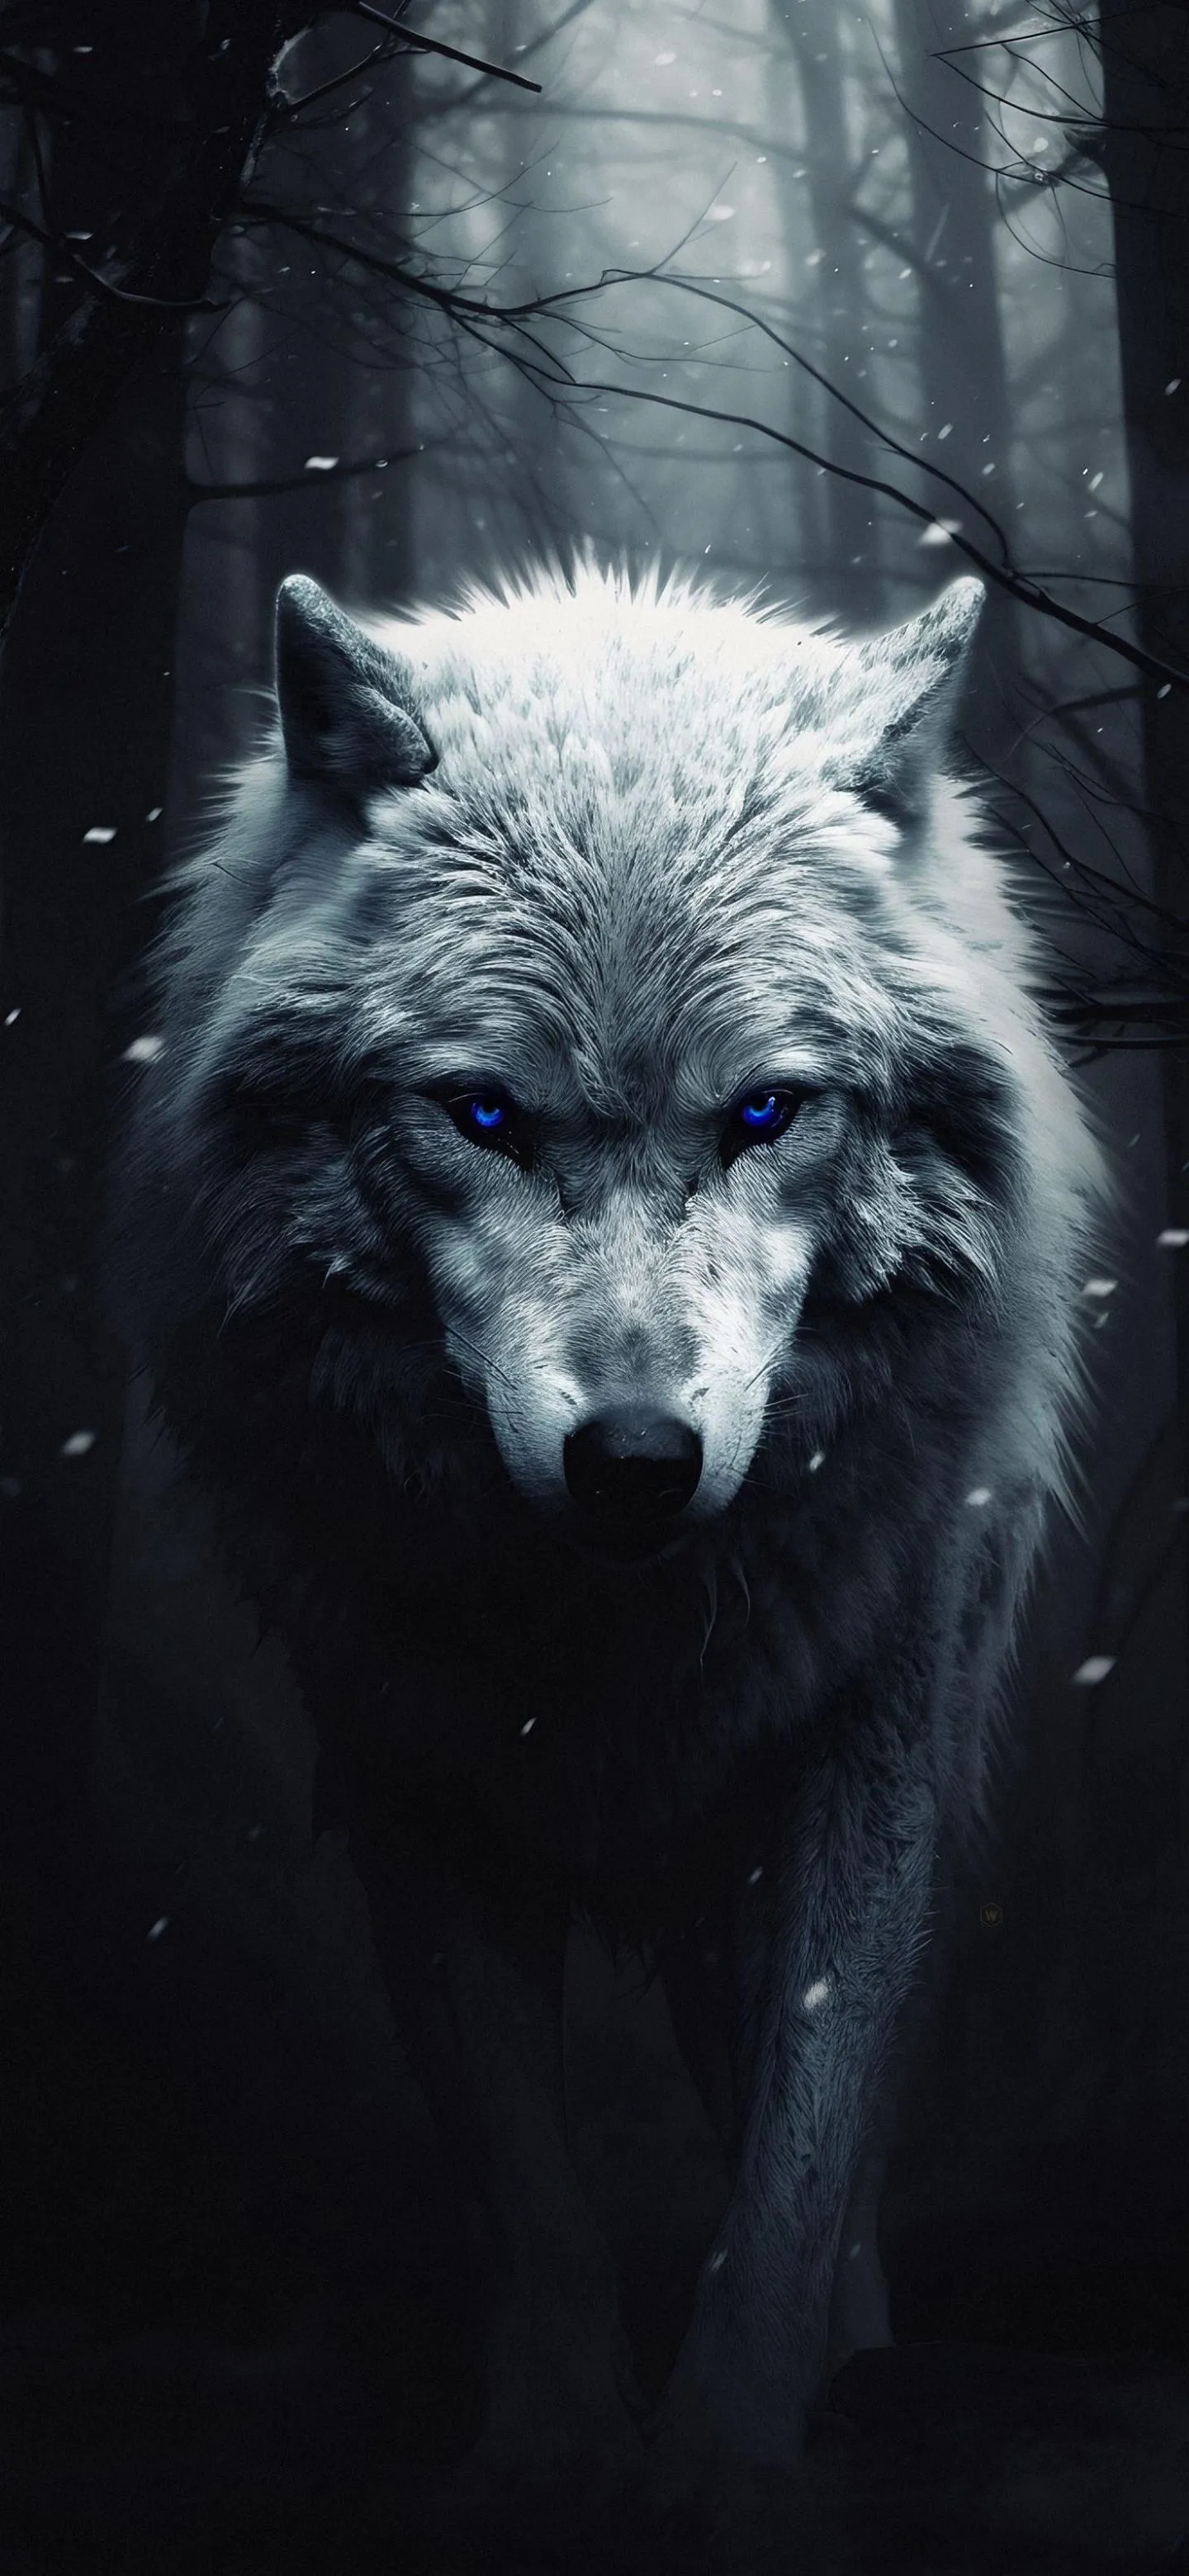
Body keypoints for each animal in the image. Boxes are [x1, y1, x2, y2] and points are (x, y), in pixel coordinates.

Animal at [114, 561, 1105, 2536]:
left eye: (769, 1112)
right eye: (485, 1115)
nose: (637, 1462)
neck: (613, 1639)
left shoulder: (862, 1762)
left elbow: (794, 2167)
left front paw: (729, 2459)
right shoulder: (410, 1771)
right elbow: (532, 2190)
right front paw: (554, 2459)